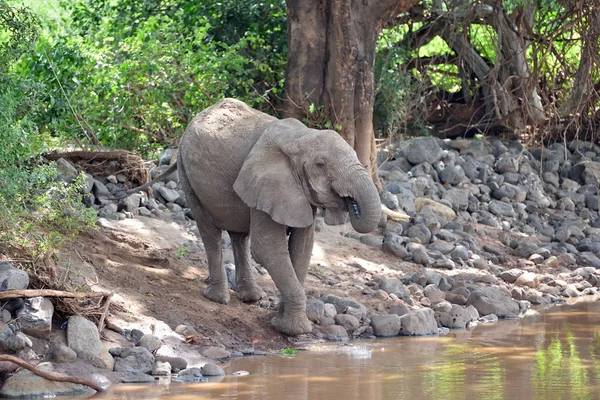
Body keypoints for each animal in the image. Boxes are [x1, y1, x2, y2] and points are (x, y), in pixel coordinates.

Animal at [149, 99, 380, 334]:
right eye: (320, 164)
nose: (351, 202)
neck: (300, 138)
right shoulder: (267, 183)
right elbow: (267, 248)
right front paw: (294, 330)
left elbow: (302, 248)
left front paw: (279, 320)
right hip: (187, 173)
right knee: (209, 231)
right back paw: (218, 298)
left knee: (239, 235)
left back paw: (251, 297)